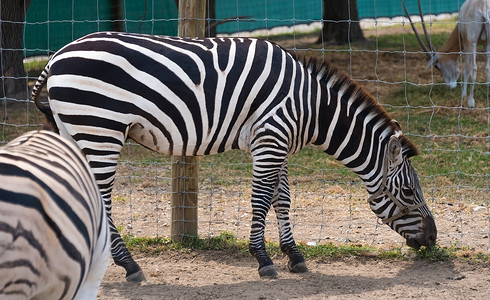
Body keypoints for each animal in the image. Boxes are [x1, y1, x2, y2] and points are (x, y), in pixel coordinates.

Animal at [31, 31, 436, 278]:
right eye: (409, 192)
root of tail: (55, 57)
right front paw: (263, 259)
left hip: (75, 130)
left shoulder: (276, 142)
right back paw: (128, 264)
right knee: (100, 198)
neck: (312, 107)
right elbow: (261, 199)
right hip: (99, 128)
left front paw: (294, 256)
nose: (433, 239)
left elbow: (282, 199)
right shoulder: (271, 137)